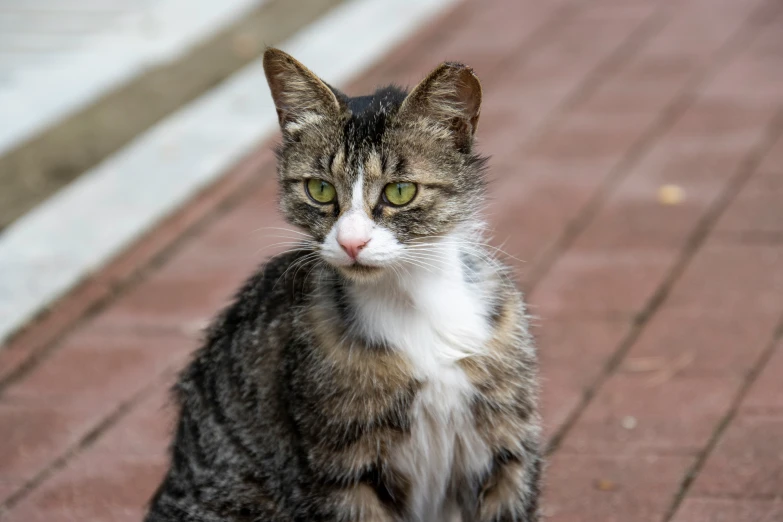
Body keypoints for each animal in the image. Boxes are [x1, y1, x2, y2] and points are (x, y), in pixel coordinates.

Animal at [144, 46, 544, 516]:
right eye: (319, 189)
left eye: (400, 192)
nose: (352, 242)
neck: (413, 300)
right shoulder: (339, 470)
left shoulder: (508, 447)